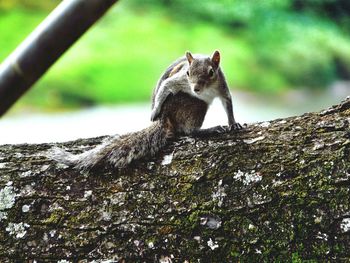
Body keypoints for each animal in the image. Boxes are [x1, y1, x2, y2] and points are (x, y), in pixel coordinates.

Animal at [48, 50, 241, 172]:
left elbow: (228, 102)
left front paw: (233, 123)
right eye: (188, 73)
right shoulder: (180, 82)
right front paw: (154, 110)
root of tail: (165, 119)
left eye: (211, 72)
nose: (196, 88)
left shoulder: (222, 87)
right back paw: (207, 129)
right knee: (188, 131)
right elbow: (167, 85)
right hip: (194, 104)